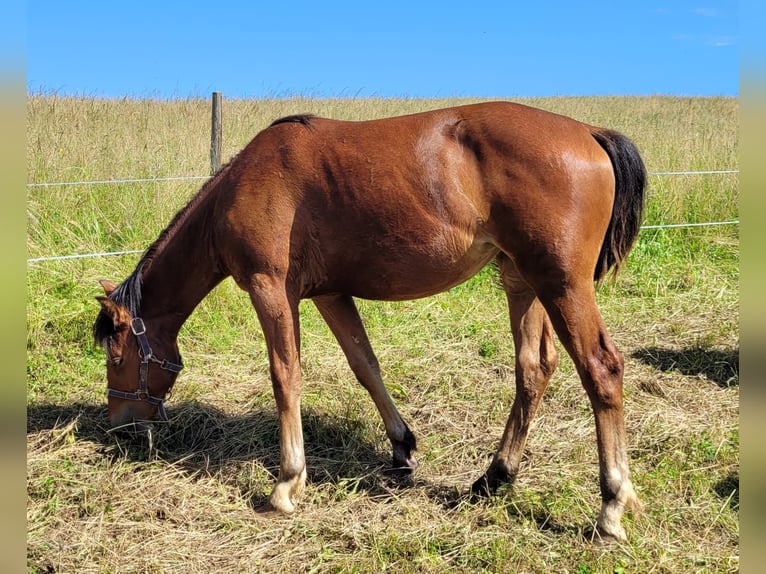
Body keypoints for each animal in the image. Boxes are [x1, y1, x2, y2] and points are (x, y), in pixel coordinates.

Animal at [93, 101, 646, 542]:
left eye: (116, 355)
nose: (119, 427)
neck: (243, 185)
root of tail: (589, 132)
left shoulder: (271, 290)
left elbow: (285, 377)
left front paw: (287, 483)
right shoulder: (330, 294)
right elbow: (366, 367)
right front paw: (402, 446)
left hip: (562, 287)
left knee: (602, 369)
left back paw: (612, 506)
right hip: (521, 283)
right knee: (534, 369)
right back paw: (493, 478)